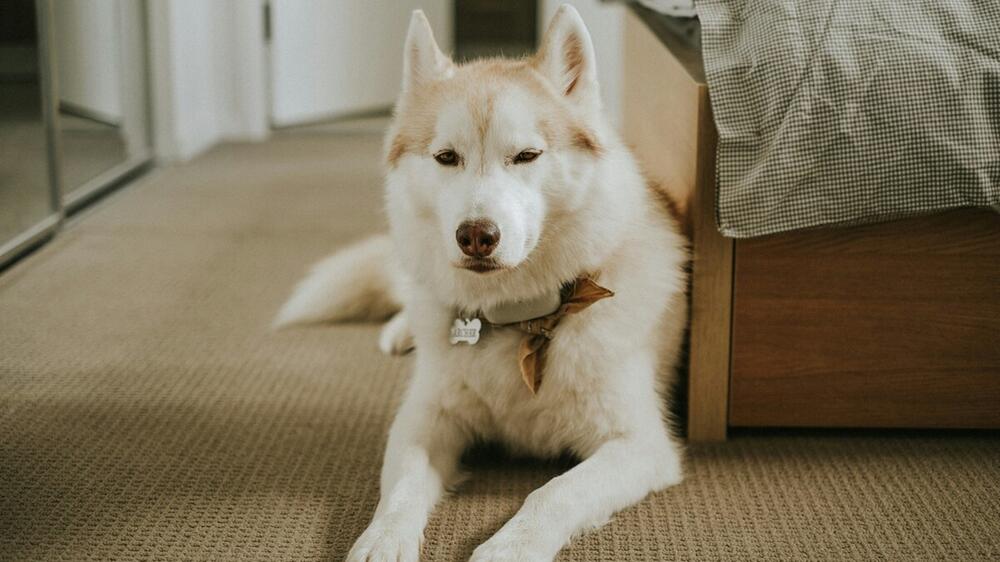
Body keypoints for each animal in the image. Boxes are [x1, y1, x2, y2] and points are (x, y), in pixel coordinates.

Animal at [278, 5, 692, 560]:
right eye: (446, 157)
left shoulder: (639, 445)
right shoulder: (424, 418)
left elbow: (553, 493)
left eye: (527, 156)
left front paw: (511, 547)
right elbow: (401, 489)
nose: (476, 235)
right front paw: (383, 540)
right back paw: (401, 330)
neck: (522, 317)